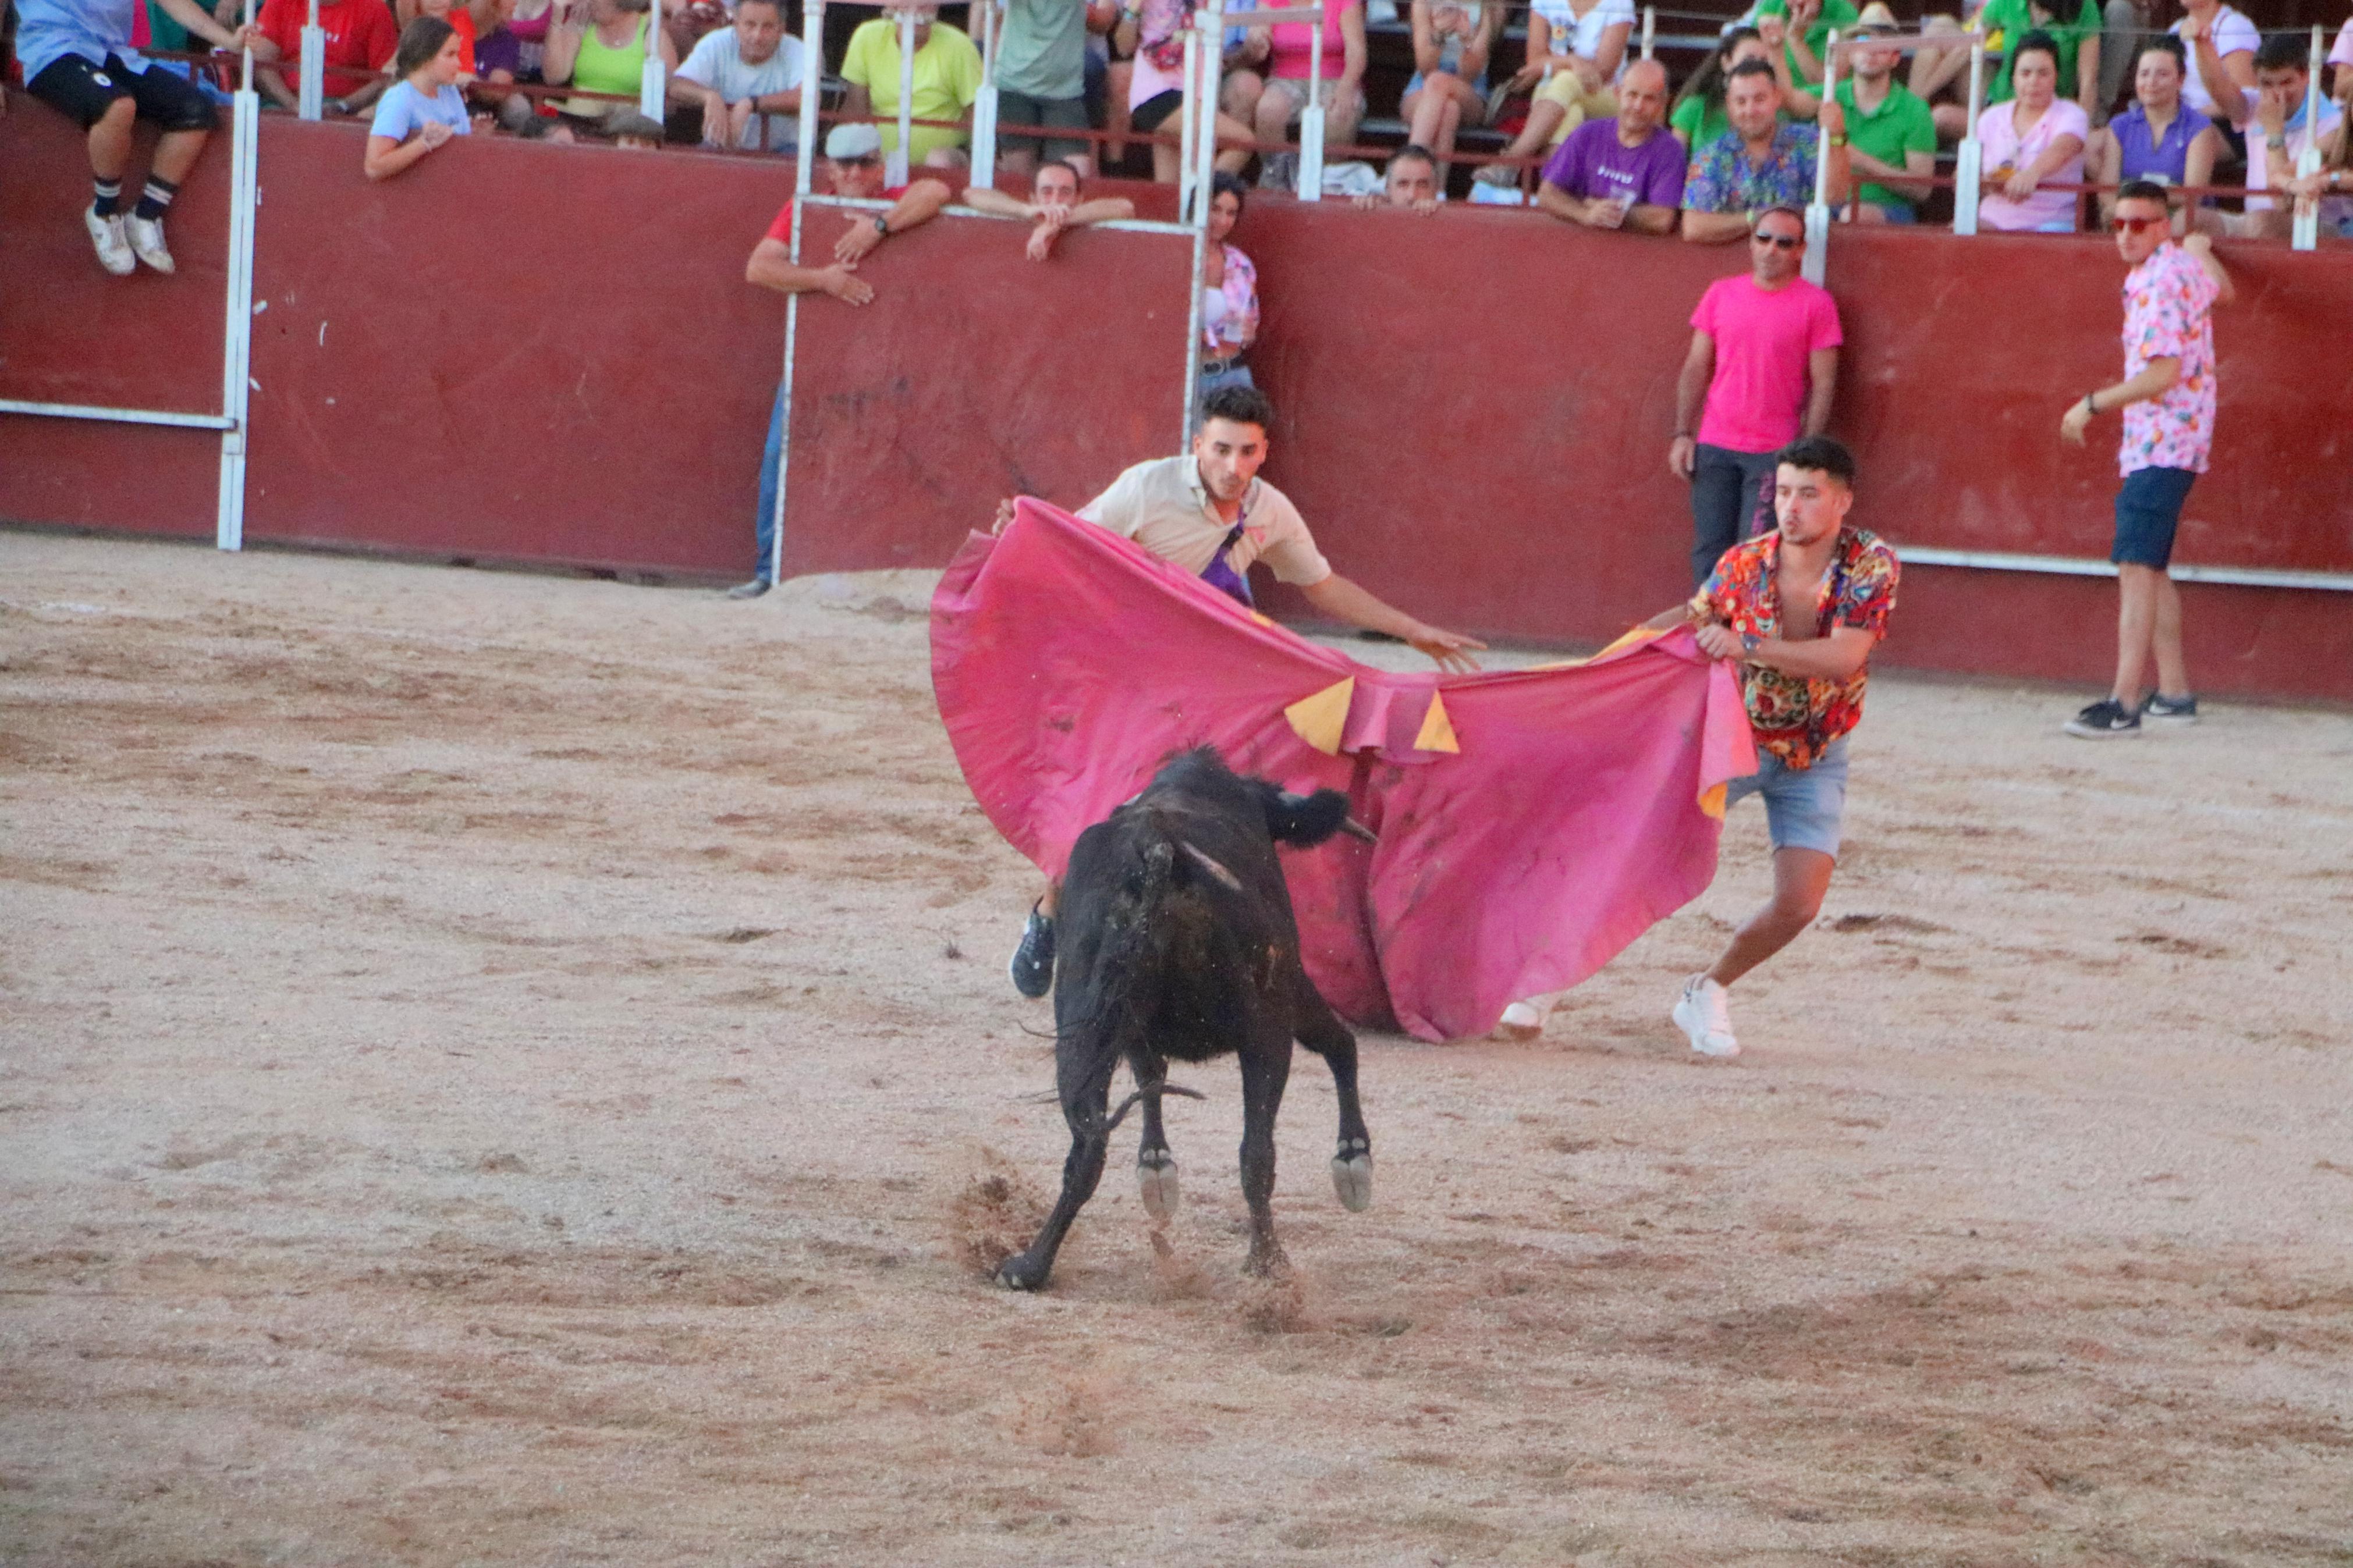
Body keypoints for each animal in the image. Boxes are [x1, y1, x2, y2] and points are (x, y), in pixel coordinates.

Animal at [998, 752, 1374, 1297]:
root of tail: (1159, 850)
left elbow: (1151, 1077)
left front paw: (1156, 1168)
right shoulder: (1287, 990)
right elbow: (1340, 1044)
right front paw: (1352, 1159)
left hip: (1084, 1025)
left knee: (1089, 1145)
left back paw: (1029, 1266)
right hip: (1265, 1023)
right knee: (1258, 1149)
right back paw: (1270, 1263)